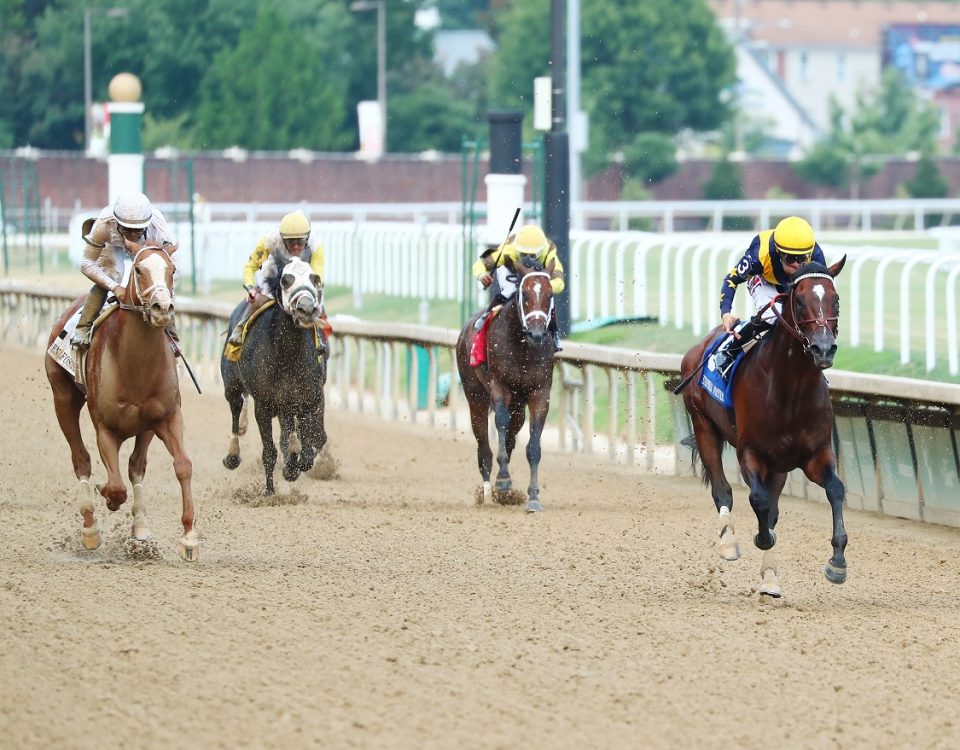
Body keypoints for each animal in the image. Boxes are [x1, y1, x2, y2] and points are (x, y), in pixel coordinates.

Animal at [44, 244, 198, 560]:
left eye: (172, 269)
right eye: (138, 269)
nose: (162, 308)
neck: (134, 363)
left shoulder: (165, 417)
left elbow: (182, 465)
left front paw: (188, 537)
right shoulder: (104, 427)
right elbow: (114, 485)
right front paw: (107, 496)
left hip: (145, 428)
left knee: (135, 466)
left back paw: (140, 528)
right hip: (62, 398)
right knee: (81, 460)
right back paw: (90, 530)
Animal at [222, 256, 330, 496]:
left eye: (314, 278)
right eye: (286, 280)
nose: (306, 309)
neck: (287, 353)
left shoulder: (308, 398)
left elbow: (310, 444)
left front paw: (293, 466)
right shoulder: (263, 405)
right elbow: (269, 451)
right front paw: (270, 491)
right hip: (231, 385)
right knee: (235, 409)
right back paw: (232, 455)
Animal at [458, 256, 556, 516]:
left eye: (550, 294)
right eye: (525, 294)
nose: (536, 333)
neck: (522, 347)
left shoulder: (539, 393)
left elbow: (533, 446)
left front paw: (533, 498)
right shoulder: (499, 387)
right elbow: (500, 423)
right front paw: (502, 480)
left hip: (519, 407)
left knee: (511, 437)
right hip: (475, 397)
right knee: (484, 445)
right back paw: (487, 491)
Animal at [684, 260, 848, 600]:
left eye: (835, 299)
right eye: (800, 301)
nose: (823, 348)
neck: (790, 387)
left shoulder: (815, 455)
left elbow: (836, 490)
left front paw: (837, 562)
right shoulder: (750, 452)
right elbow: (757, 502)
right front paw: (760, 539)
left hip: (779, 466)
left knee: (770, 508)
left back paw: (770, 579)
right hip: (704, 425)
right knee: (723, 491)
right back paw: (728, 542)